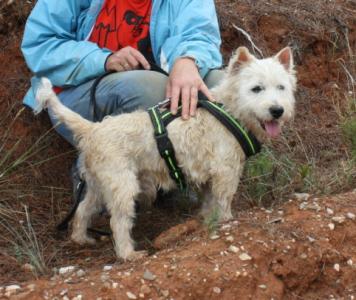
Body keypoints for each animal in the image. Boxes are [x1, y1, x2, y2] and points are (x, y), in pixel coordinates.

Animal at [36, 47, 298, 260]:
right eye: (256, 88)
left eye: (281, 87)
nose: (277, 110)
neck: (229, 110)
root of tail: (92, 129)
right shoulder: (225, 172)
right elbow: (223, 201)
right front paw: (227, 222)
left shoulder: (209, 177)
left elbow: (208, 202)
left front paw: (206, 221)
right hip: (123, 186)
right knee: (118, 222)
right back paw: (128, 253)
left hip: (98, 185)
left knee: (83, 210)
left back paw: (81, 238)